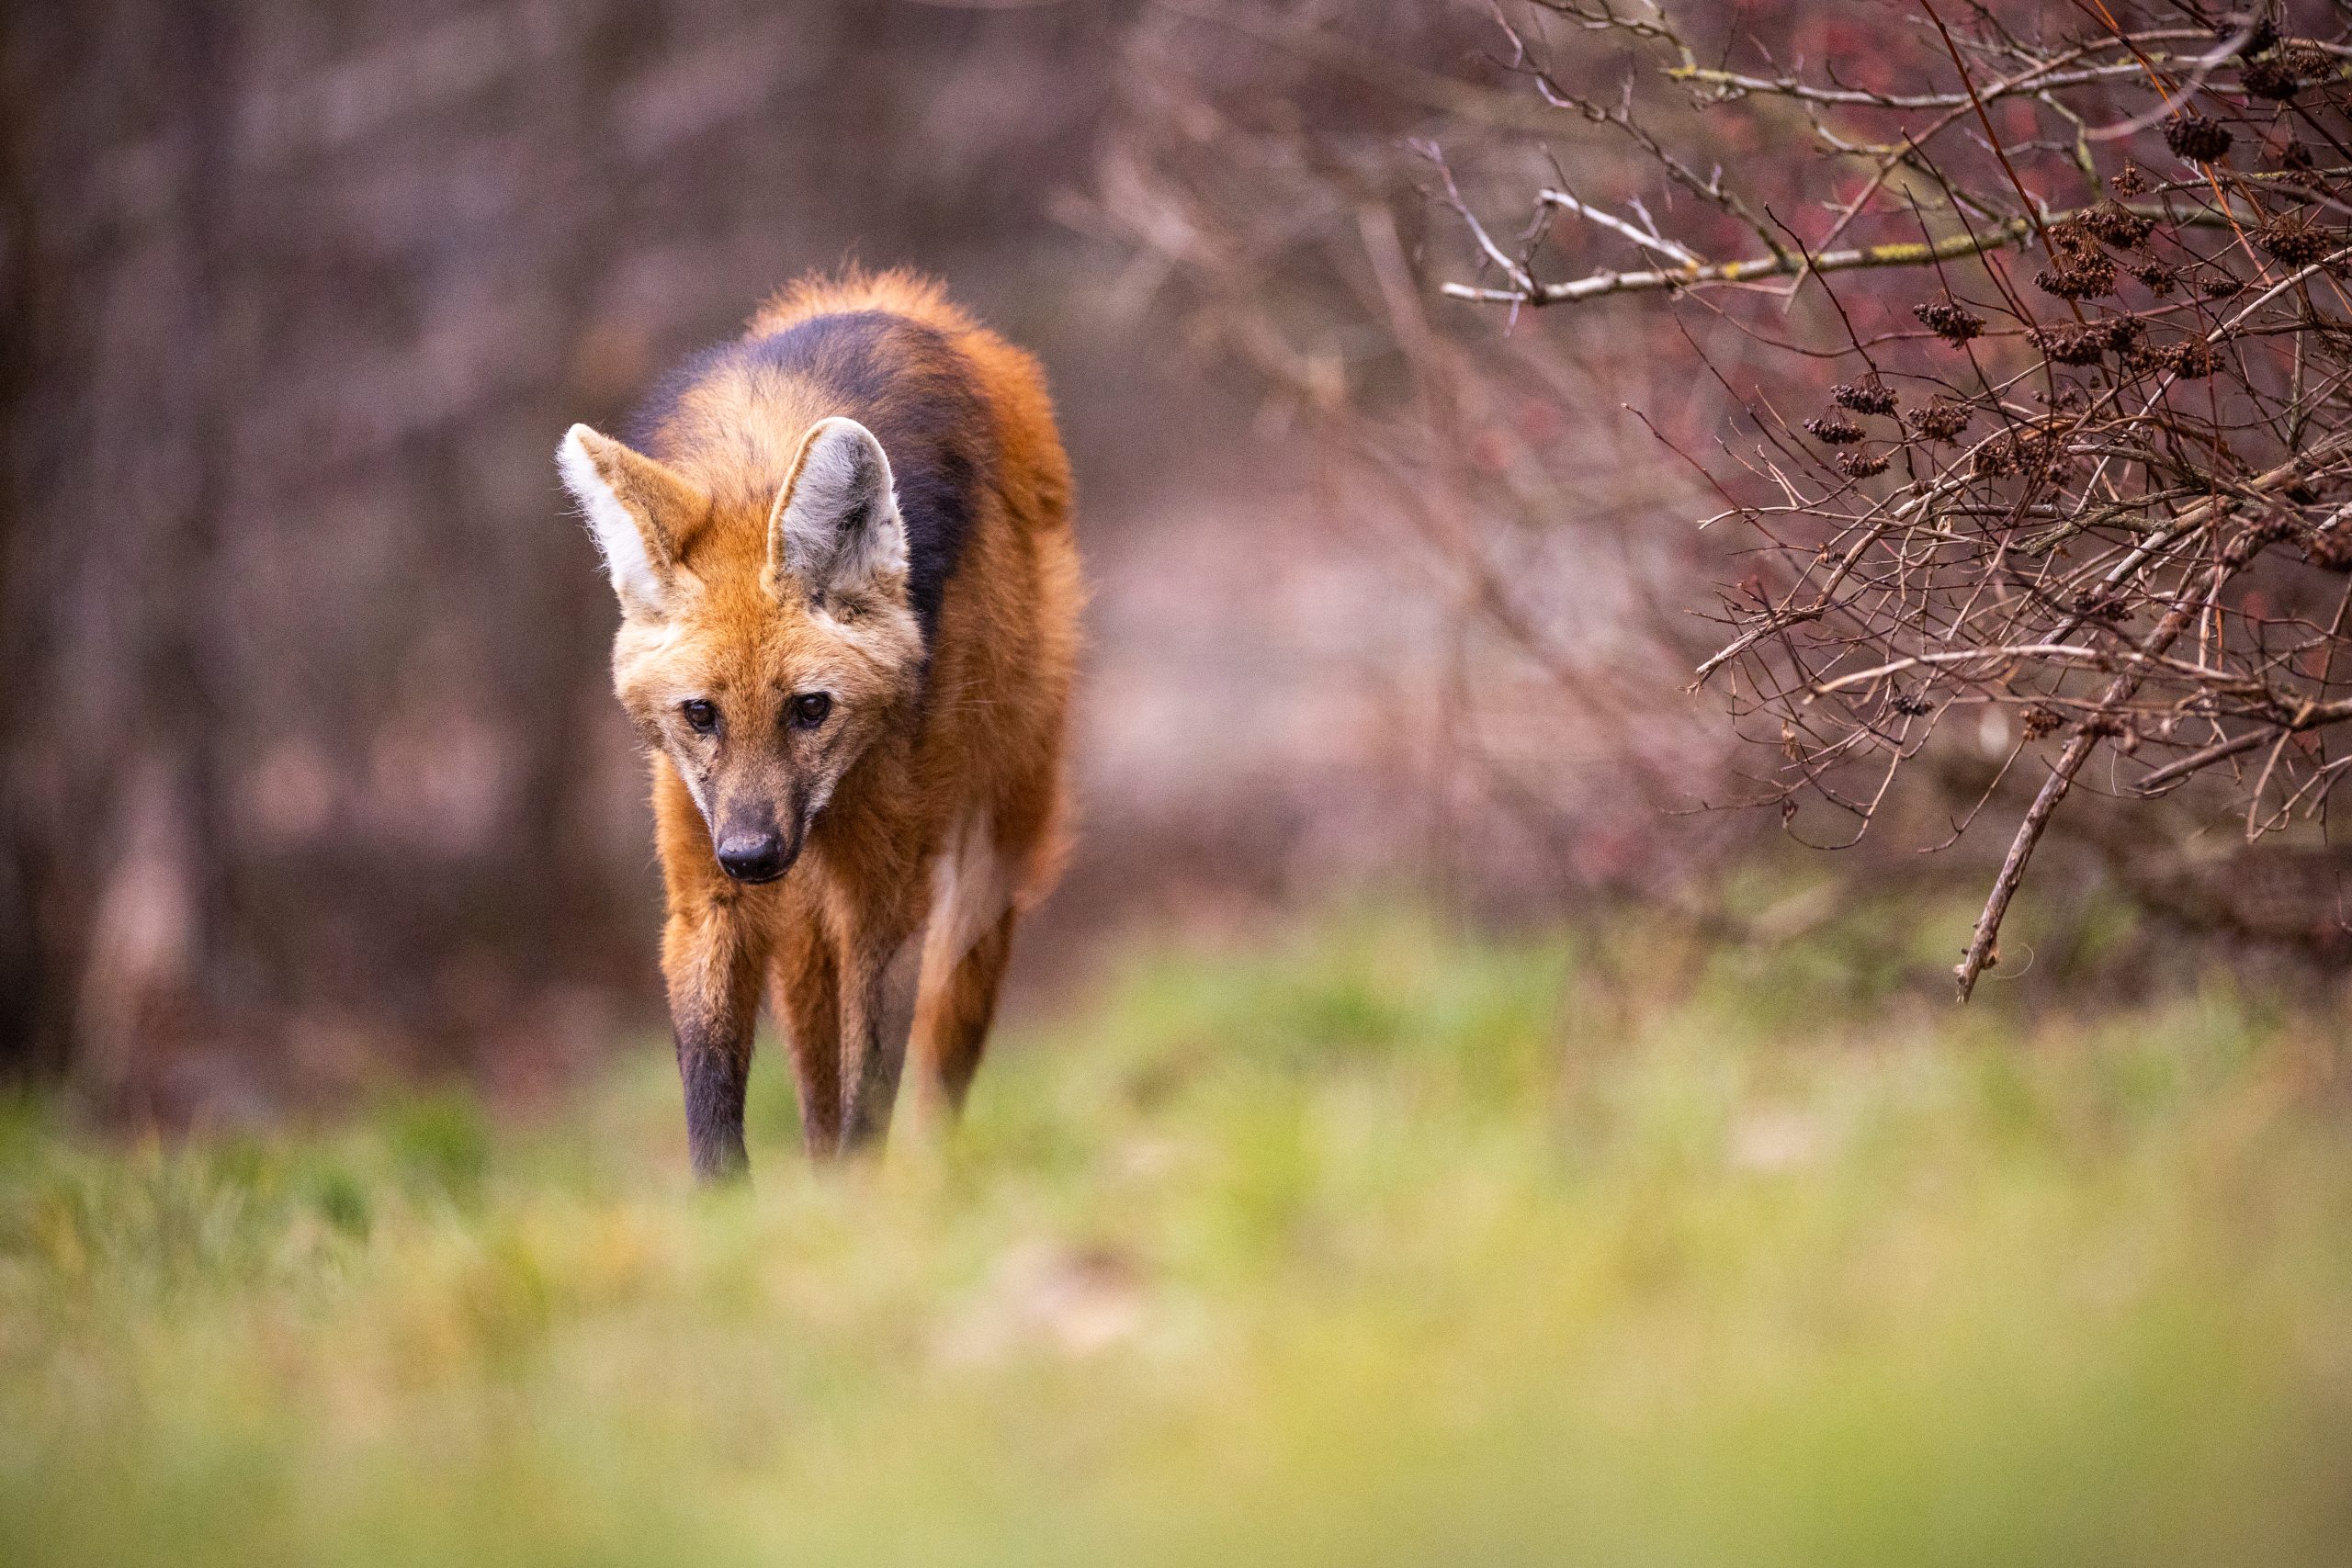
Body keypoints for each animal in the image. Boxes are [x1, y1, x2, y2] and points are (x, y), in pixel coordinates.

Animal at [560, 272, 1081, 1175]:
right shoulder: (707, 886)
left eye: (810, 708)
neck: (759, 457)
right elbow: (714, 1100)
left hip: (989, 840)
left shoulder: (884, 892)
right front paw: (739, 1208)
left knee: (941, 1044)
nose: (751, 854)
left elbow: (868, 1095)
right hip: (801, 905)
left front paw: (860, 1200)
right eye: (701, 714)